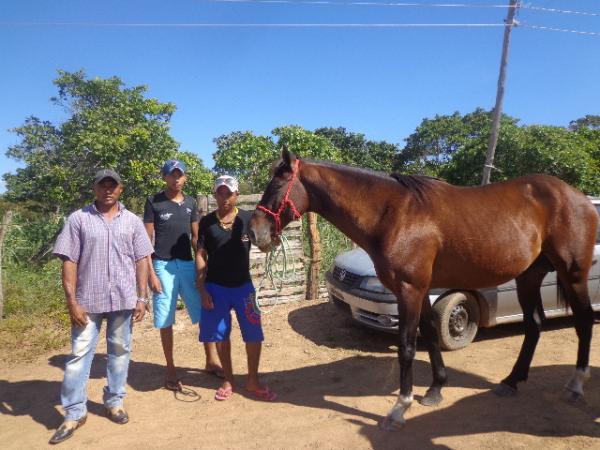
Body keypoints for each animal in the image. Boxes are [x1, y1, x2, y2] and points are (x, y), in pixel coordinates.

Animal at [247, 149, 596, 430]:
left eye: (276, 185)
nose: (254, 233)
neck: (393, 214)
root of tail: (579, 198)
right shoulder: (423, 290)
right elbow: (429, 335)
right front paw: (435, 389)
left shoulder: (410, 290)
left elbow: (407, 346)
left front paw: (400, 407)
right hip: (528, 277)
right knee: (534, 325)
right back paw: (511, 382)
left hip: (573, 274)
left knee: (584, 321)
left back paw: (576, 385)